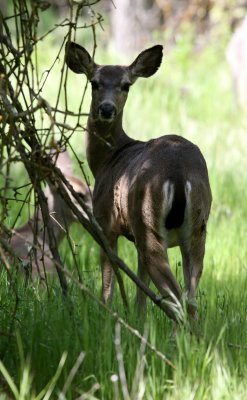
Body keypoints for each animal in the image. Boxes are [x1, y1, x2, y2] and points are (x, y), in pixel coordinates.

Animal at [66, 42, 212, 320]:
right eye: (94, 82)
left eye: (126, 85)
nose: (107, 109)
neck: (109, 159)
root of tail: (179, 173)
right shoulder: (134, 238)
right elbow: (141, 292)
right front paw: (140, 319)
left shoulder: (106, 222)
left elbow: (109, 284)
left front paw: (107, 316)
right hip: (197, 228)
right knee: (190, 299)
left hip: (147, 220)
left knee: (176, 298)